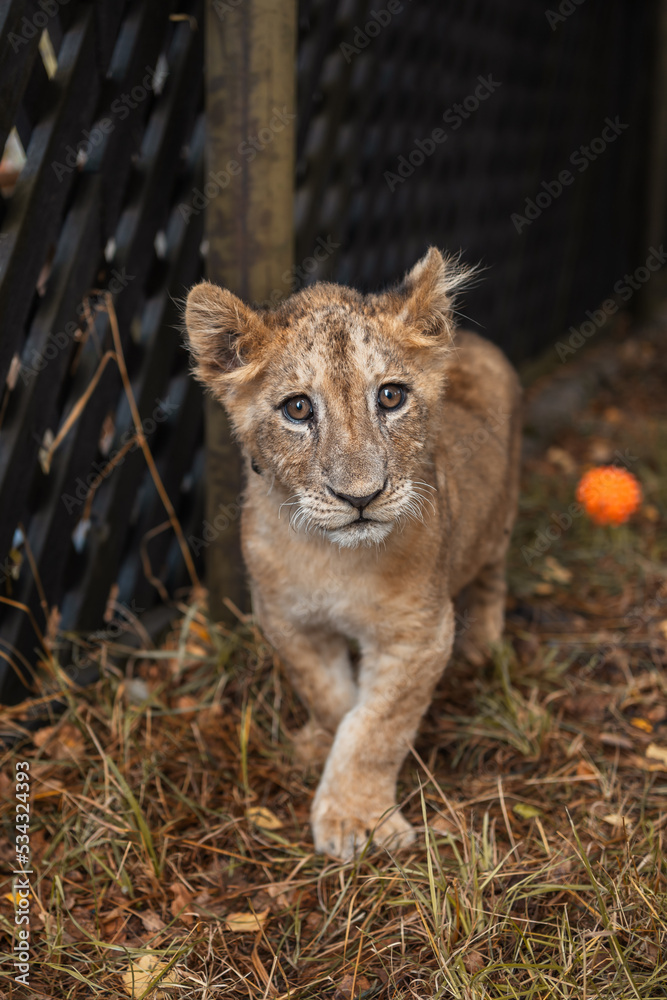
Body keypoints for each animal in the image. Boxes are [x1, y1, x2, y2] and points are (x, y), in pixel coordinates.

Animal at [185, 247, 522, 859]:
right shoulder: (286, 620)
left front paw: (355, 821)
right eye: (297, 409)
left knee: (491, 578)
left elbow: (376, 727)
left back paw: (482, 645)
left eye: (390, 396)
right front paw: (319, 746)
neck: (335, 558)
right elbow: (331, 699)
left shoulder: (418, 634)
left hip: (500, 521)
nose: (360, 496)